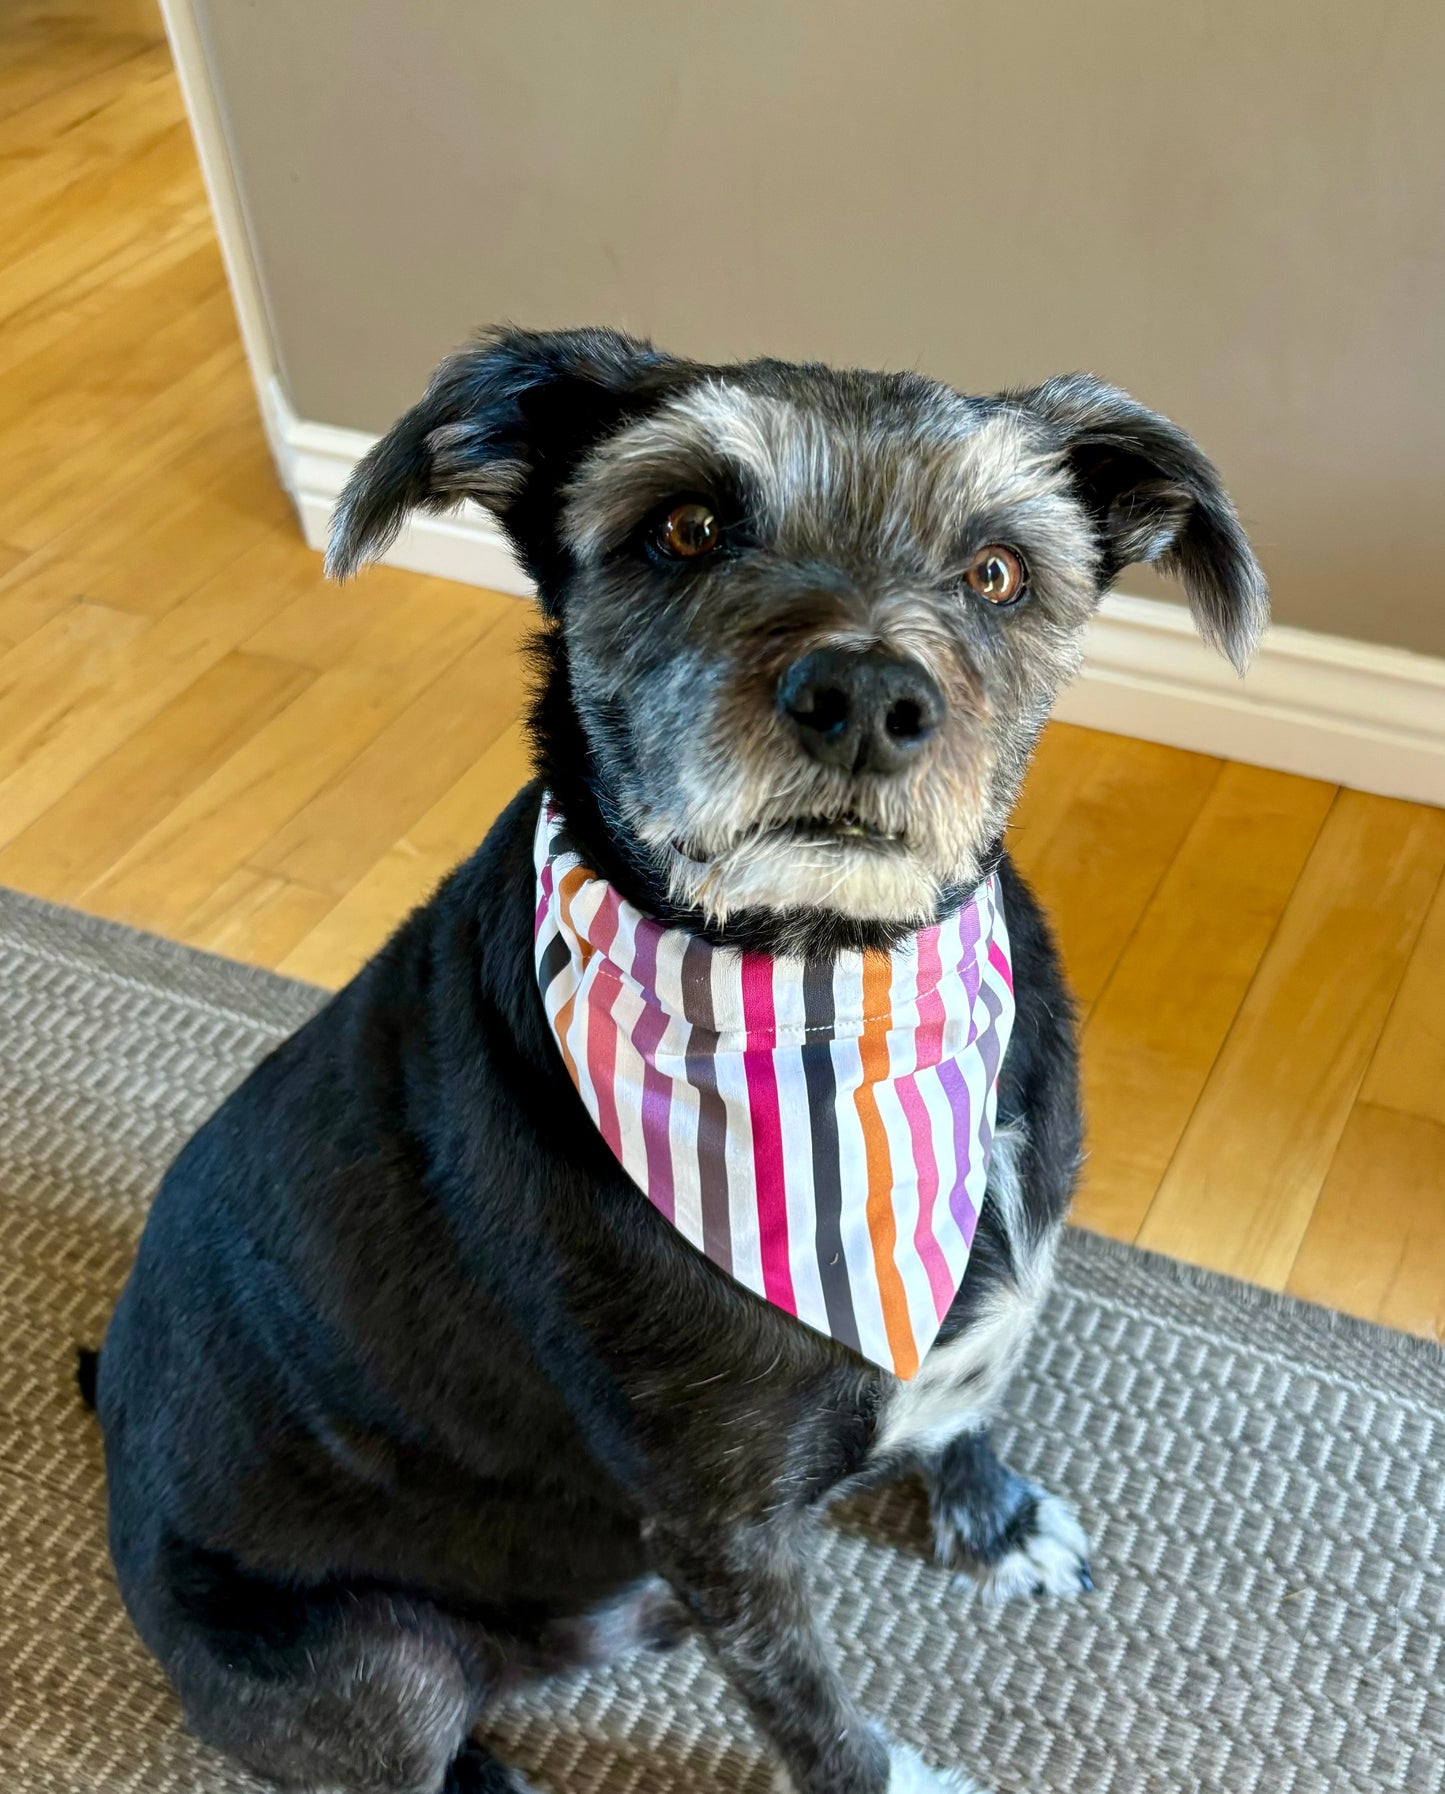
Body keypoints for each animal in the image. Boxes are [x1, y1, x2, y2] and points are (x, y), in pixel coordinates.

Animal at [90, 326, 1263, 1794]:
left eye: (996, 570)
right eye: (685, 527)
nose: (864, 696)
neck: (830, 993)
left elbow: (964, 1402)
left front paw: (991, 1518)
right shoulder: (723, 1527)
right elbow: (811, 1709)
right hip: (372, 1666)